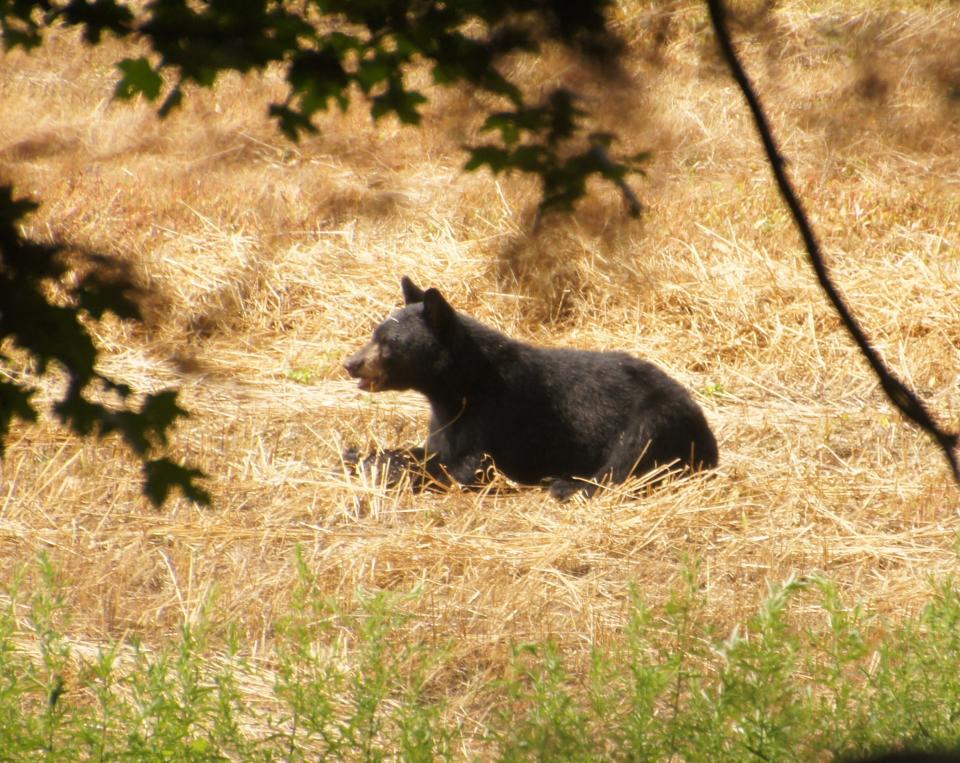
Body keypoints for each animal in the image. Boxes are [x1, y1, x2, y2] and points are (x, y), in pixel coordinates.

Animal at [344, 276, 712, 502]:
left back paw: (568, 485)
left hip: (659, 411)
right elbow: (434, 449)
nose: (351, 362)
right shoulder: (447, 420)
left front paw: (387, 467)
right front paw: (357, 454)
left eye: (390, 343)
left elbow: (469, 467)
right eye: (375, 334)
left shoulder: (498, 413)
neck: (459, 387)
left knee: (632, 450)